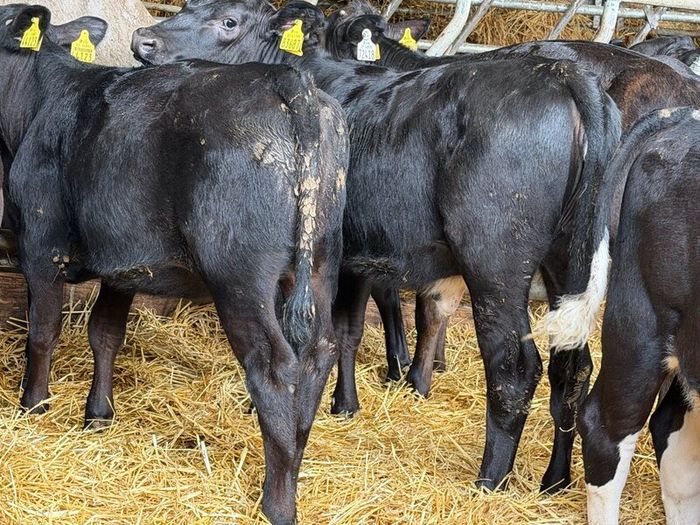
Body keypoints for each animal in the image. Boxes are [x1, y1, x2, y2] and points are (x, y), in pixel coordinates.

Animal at [0, 5, 349, 524]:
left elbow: (42, 331)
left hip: (239, 274)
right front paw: (97, 415)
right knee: (318, 352)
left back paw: (278, 499)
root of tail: (284, 78)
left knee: (273, 365)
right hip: (322, 261)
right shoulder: (124, 261)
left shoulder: (39, 246)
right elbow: (105, 334)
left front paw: (33, 405)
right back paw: (297, 458)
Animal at [132, 0, 622, 494]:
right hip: (569, 259)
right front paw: (345, 405)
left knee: (513, 365)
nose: (143, 40)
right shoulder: (354, 257)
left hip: (495, 260)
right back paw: (555, 479)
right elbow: (346, 331)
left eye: (229, 22)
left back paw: (490, 480)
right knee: (573, 366)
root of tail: (563, 73)